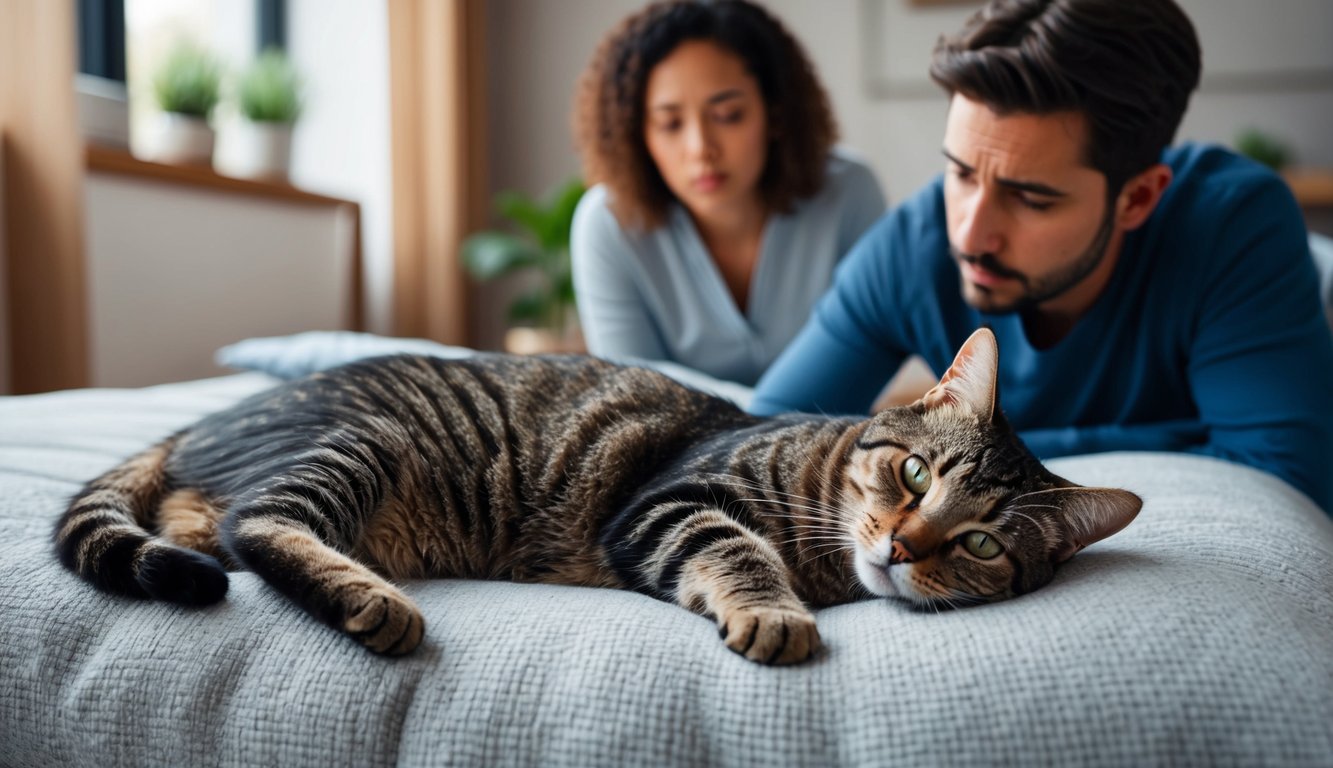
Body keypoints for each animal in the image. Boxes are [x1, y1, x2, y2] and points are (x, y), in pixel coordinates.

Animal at [51, 326, 1135, 664]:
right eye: (914, 475)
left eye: (984, 545)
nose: (904, 547)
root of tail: (206, 417)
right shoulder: (666, 502)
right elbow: (736, 547)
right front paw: (773, 611)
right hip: (364, 443)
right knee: (256, 520)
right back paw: (369, 600)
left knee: (206, 522)